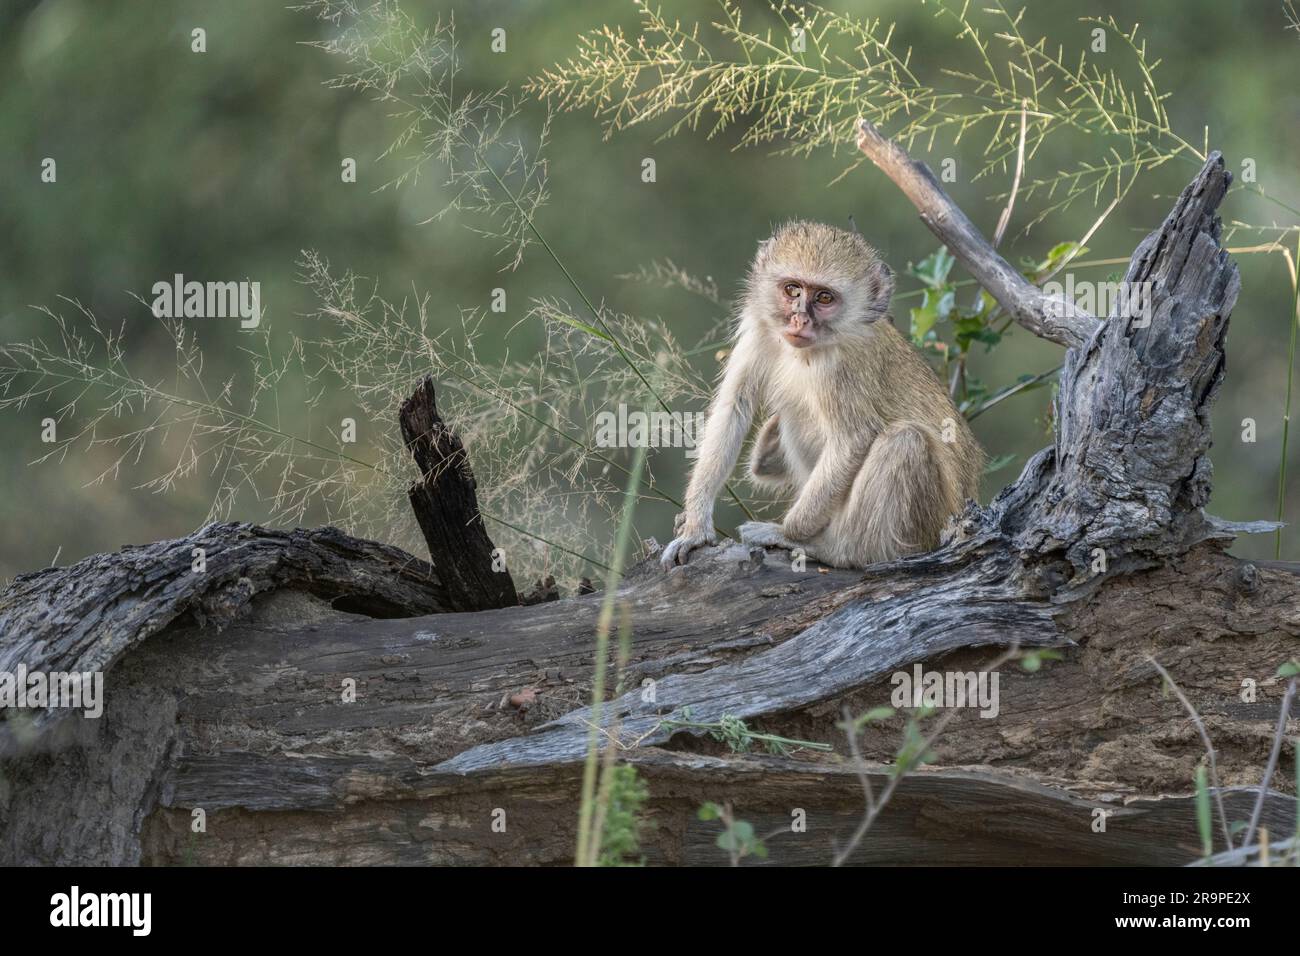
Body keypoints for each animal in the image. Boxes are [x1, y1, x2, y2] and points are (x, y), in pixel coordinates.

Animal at [660, 221, 984, 570]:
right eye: (793, 290)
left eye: (825, 297)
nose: (800, 319)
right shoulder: (759, 329)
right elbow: (734, 408)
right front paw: (696, 528)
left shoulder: (841, 368)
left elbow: (853, 440)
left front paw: (790, 531)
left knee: (904, 441)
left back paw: (834, 549)